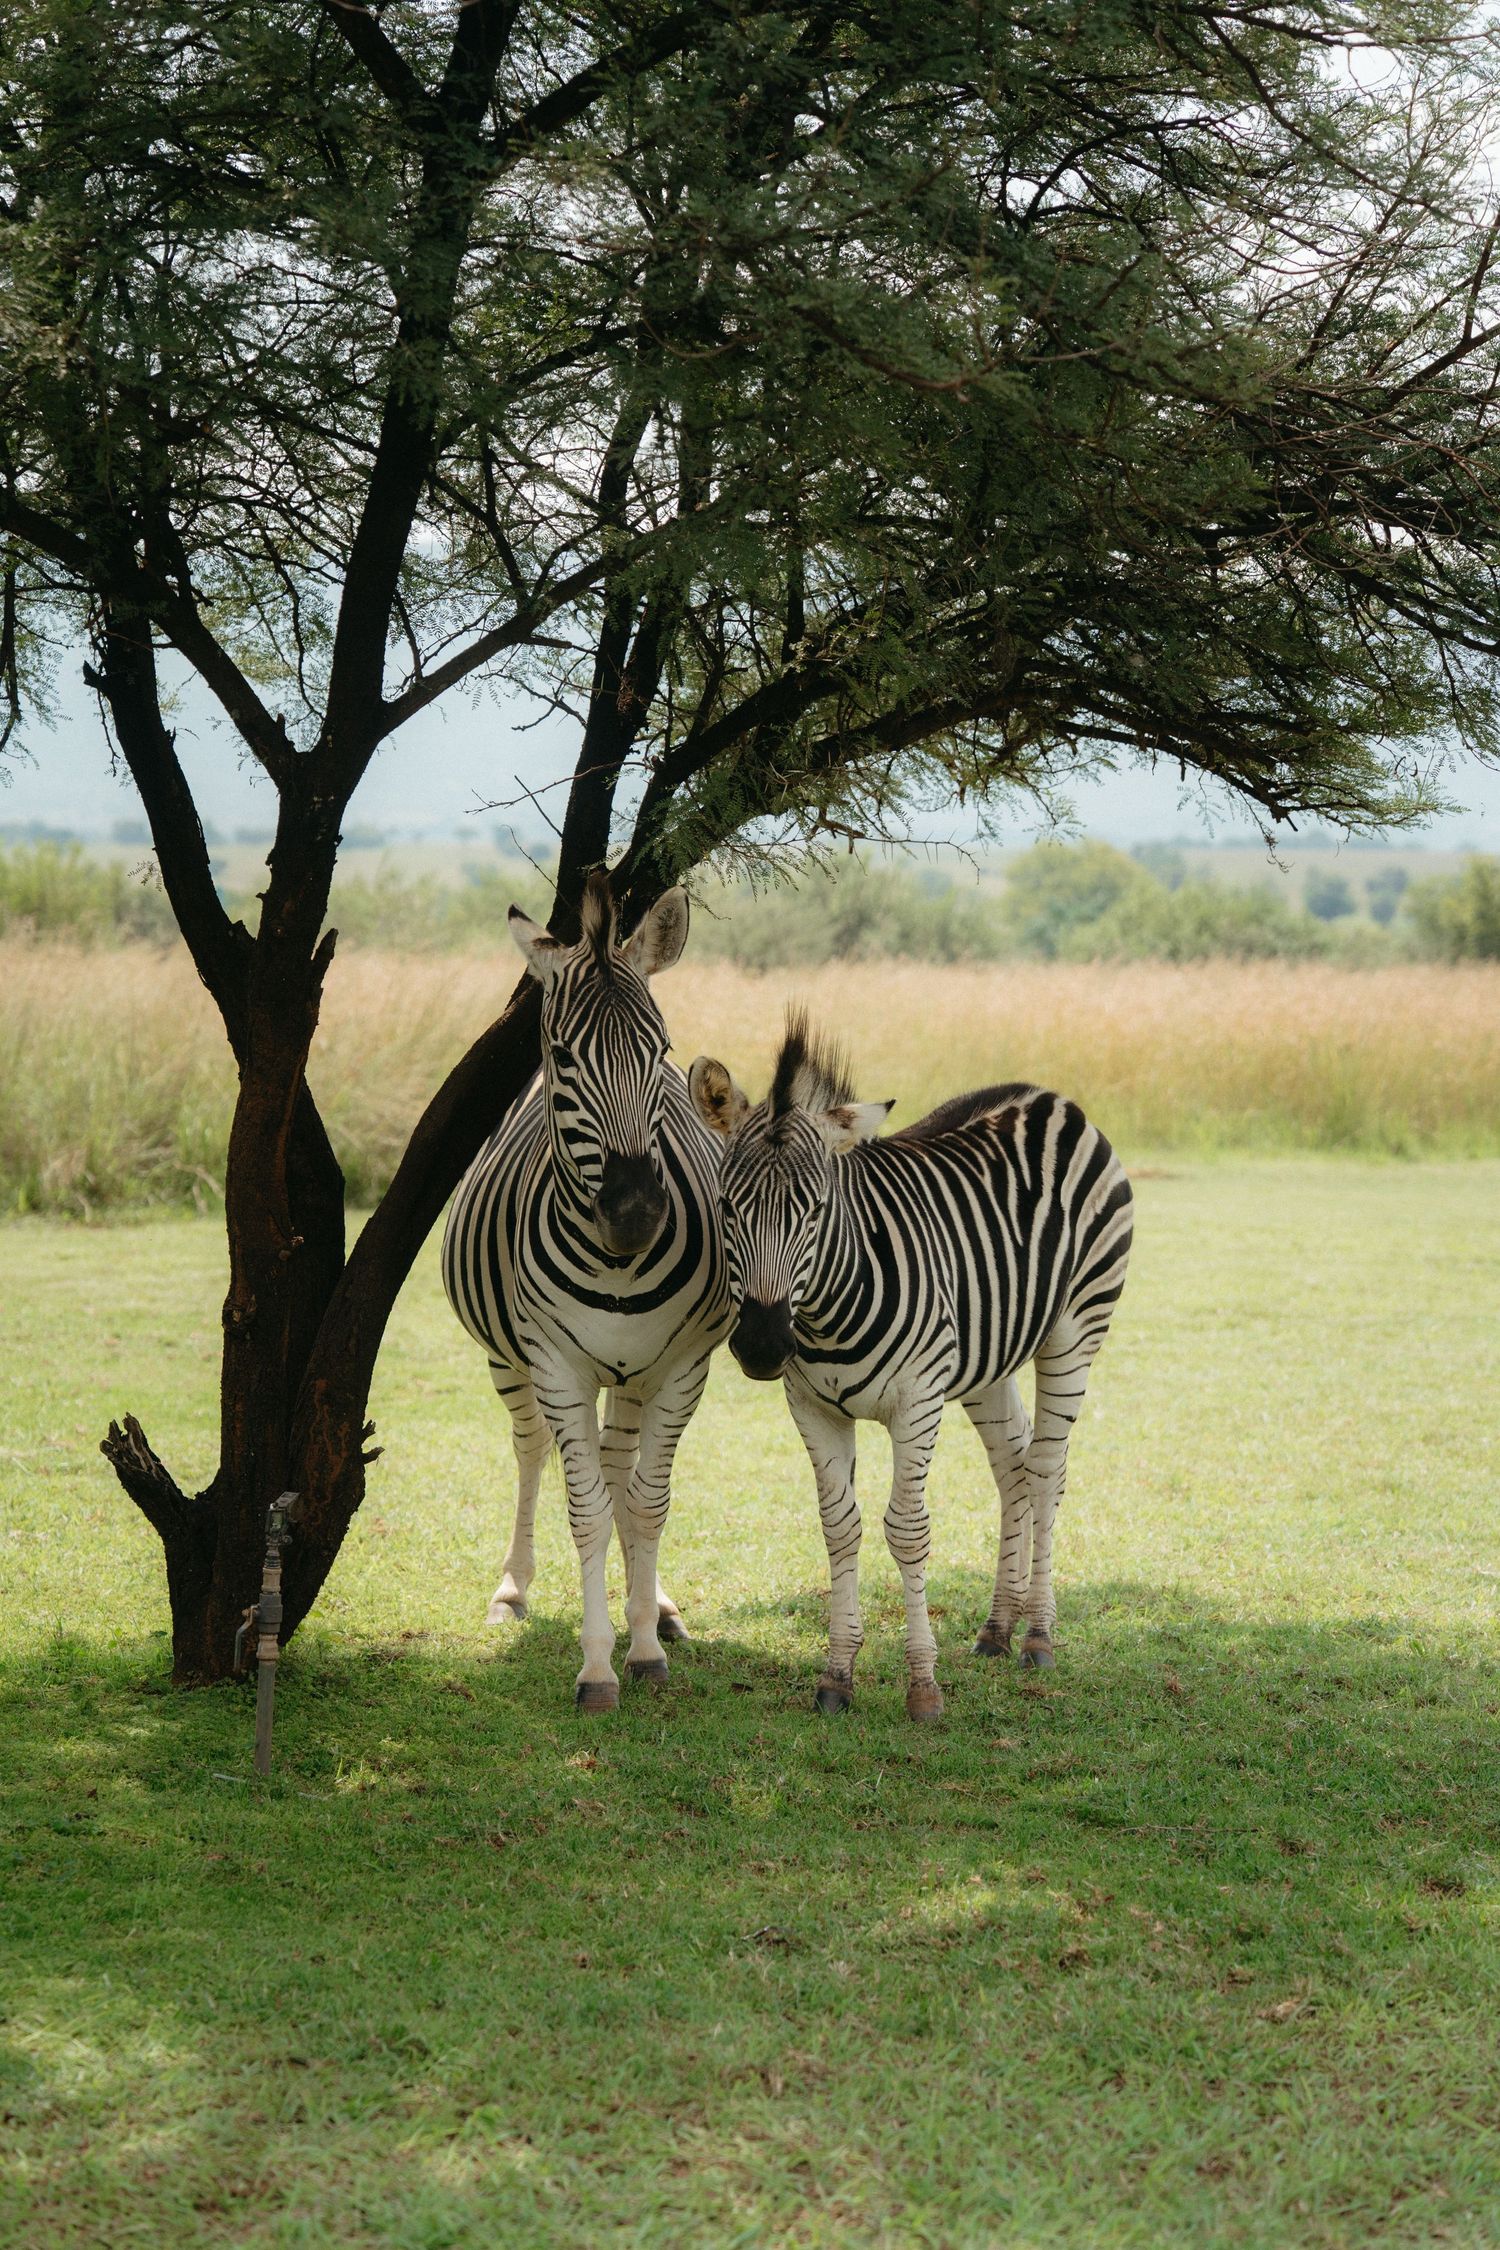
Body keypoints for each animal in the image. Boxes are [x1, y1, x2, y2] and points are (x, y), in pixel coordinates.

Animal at [443, 871, 732, 1711]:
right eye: (566, 1056)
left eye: (661, 1050)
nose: (635, 1212)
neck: (618, 1267)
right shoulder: (555, 1364)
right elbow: (585, 1511)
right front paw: (598, 1663)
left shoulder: (682, 1367)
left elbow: (645, 1503)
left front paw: (644, 1645)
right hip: (511, 1362)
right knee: (535, 1450)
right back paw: (514, 1590)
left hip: (632, 1374)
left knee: (620, 1470)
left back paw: (655, 1604)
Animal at [688, 1014, 1132, 1720]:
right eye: (727, 1206)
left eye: (816, 1209)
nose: (760, 1346)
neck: (827, 1313)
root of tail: (1046, 1095)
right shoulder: (811, 1408)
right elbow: (839, 1528)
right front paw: (837, 1673)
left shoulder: (917, 1401)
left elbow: (907, 1531)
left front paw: (923, 1684)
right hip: (985, 1358)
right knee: (1013, 1467)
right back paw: (998, 1628)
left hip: (1075, 1329)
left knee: (1045, 1471)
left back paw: (1038, 1635)